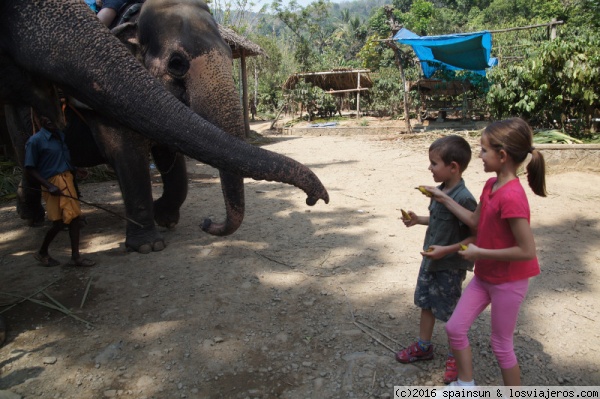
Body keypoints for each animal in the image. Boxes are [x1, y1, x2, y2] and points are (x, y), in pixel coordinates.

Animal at [0, 0, 328, 253]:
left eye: (228, 53)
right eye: (177, 64)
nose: (208, 223)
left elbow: (172, 158)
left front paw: (166, 218)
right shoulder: (101, 101)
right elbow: (127, 153)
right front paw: (148, 246)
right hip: (15, 113)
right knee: (27, 153)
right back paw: (33, 216)